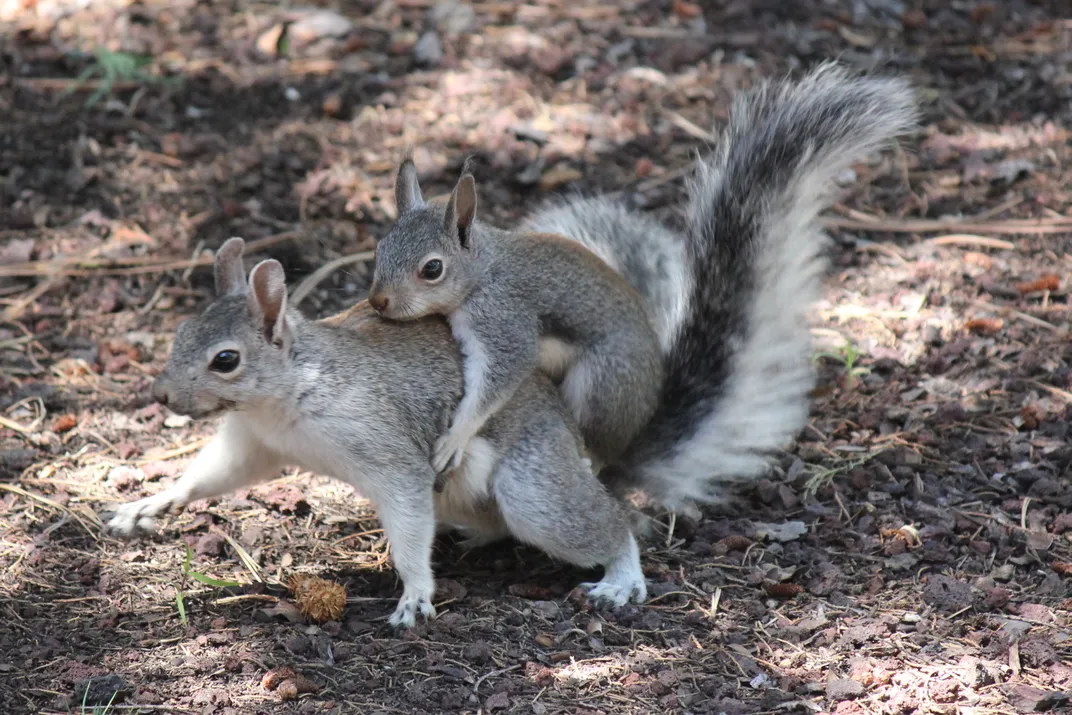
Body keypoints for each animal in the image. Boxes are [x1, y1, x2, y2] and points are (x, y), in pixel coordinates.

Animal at [368, 159, 660, 478]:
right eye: (380, 247)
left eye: (433, 269)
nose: (377, 300)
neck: (484, 274)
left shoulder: (505, 322)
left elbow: (493, 387)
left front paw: (455, 438)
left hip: (602, 383)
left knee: (605, 448)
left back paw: (589, 461)